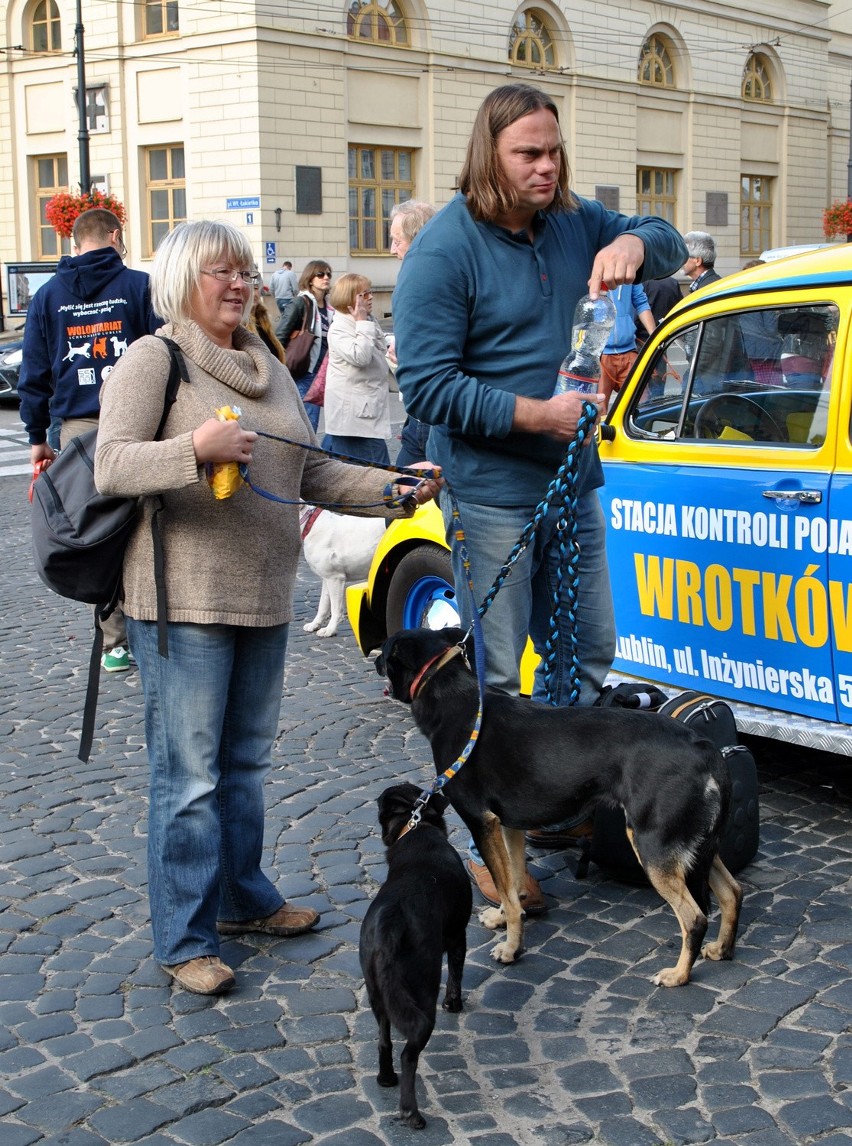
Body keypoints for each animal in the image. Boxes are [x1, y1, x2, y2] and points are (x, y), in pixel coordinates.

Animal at [295, 508, 382, 641]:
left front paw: (330, 630)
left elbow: (335, 609)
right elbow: (323, 605)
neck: (309, 523)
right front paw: (315, 624)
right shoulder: (327, 579)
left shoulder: (335, 579)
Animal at [355, 779, 470, 1127]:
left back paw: (385, 1079)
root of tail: (391, 922)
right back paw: (411, 1112)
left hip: (378, 994)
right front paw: (454, 1004)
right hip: (422, 991)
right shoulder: (458, 935)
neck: (415, 827)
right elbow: (457, 974)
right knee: (408, 1054)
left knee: (384, 1040)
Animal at [376, 628, 743, 985]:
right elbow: (512, 884)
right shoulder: (508, 824)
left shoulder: (481, 821)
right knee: (732, 892)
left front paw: (511, 949)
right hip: (691, 844)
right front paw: (506, 919)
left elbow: (507, 890)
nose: (375, 658)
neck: (452, 694)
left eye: (387, 647)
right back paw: (721, 949)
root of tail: (704, 747)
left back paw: (679, 975)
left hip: (654, 845)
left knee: (694, 917)